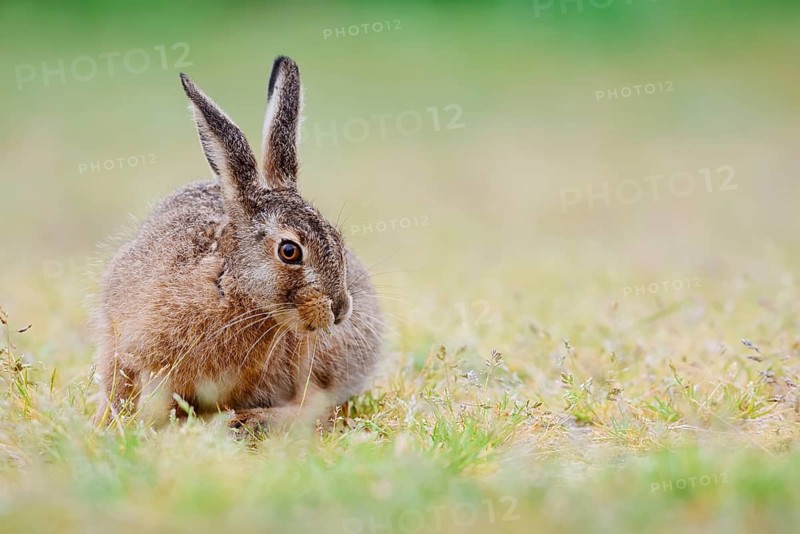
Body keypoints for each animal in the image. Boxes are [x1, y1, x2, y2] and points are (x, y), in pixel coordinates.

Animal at [93, 56, 384, 432]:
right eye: (289, 251)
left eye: (337, 240)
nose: (340, 308)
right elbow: (120, 386)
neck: (229, 287)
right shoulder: (119, 338)